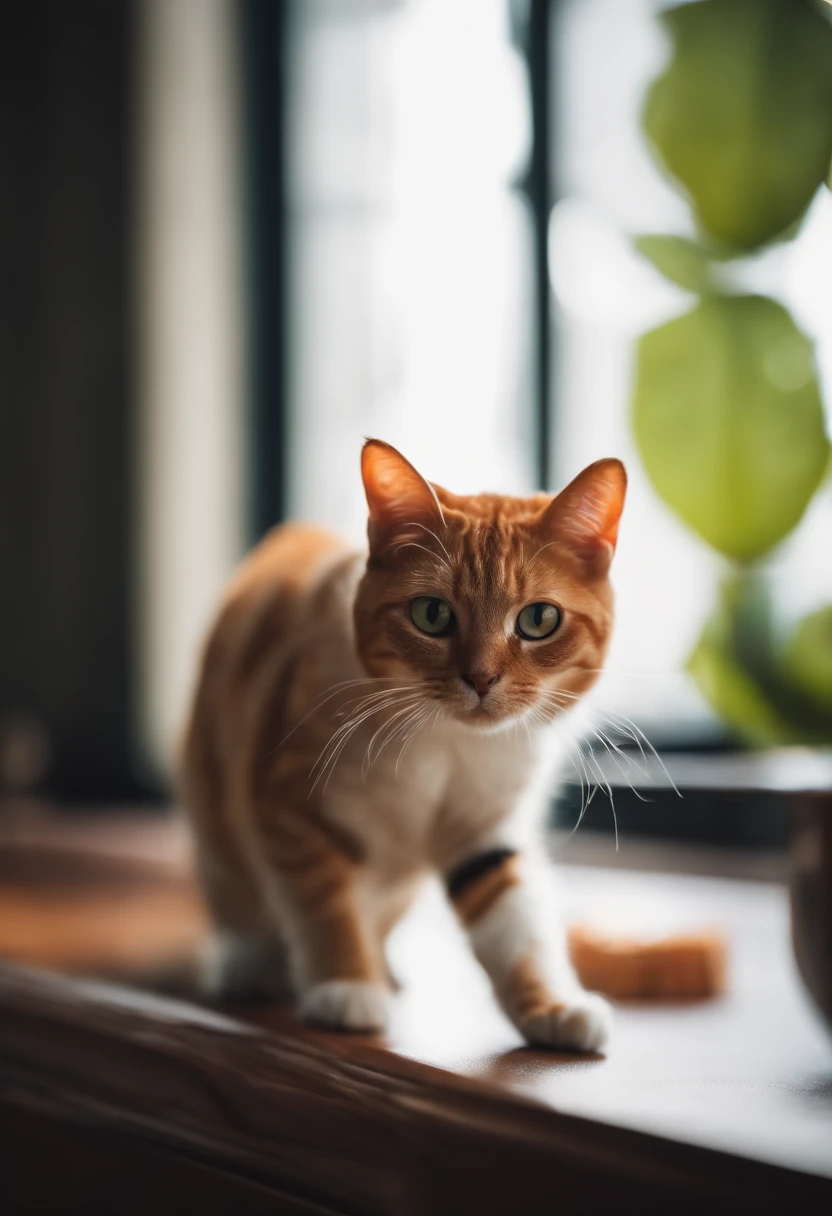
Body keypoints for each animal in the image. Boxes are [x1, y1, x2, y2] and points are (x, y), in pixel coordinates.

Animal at [180, 442, 622, 1050]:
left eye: (539, 619)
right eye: (431, 614)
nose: (481, 679)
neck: (446, 746)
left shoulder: (487, 826)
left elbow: (516, 921)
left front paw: (556, 1006)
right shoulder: (284, 801)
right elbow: (324, 901)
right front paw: (345, 988)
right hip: (213, 815)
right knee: (235, 895)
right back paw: (247, 962)